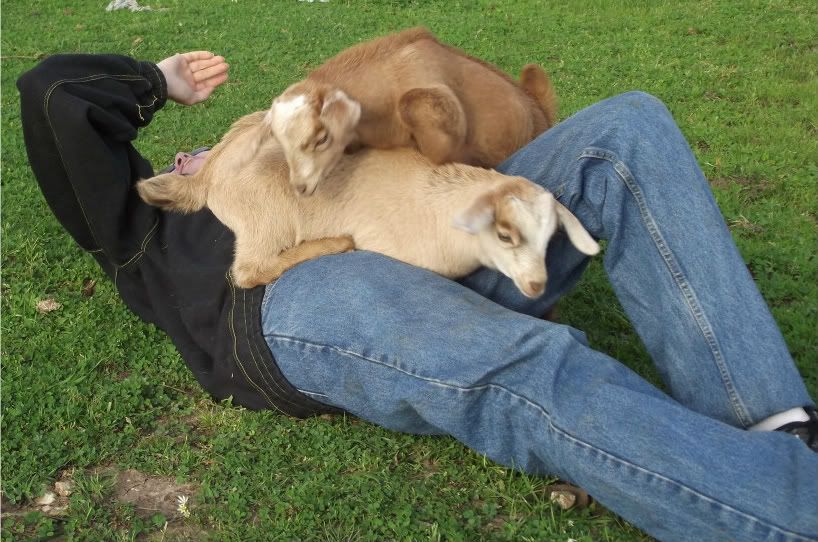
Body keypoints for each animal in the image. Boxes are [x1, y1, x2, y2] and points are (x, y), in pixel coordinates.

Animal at [137, 111, 598, 297]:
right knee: (249, 270)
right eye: (505, 234)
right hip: (267, 214)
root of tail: (210, 173)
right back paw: (334, 244)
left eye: (551, 237)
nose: (537, 286)